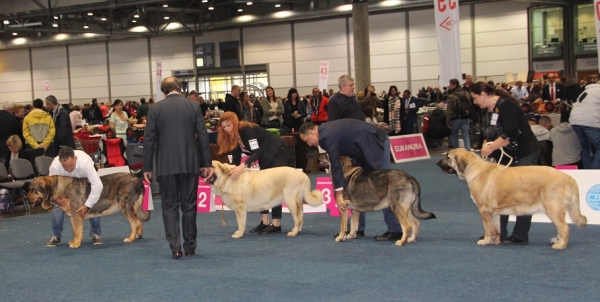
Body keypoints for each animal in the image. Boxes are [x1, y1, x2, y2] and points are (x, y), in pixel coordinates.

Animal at [436, 147, 584, 249]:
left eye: (448, 158)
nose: (437, 162)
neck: (473, 168)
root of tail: (569, 178)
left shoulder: (484, 210)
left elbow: (488, 228)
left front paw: (485, 240)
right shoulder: (494, 212)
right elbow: (496, 228)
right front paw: (495, 240)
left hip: (552, 208)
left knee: (564, 228)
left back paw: (560, 245)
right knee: (560, 227)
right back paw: (557, 240)